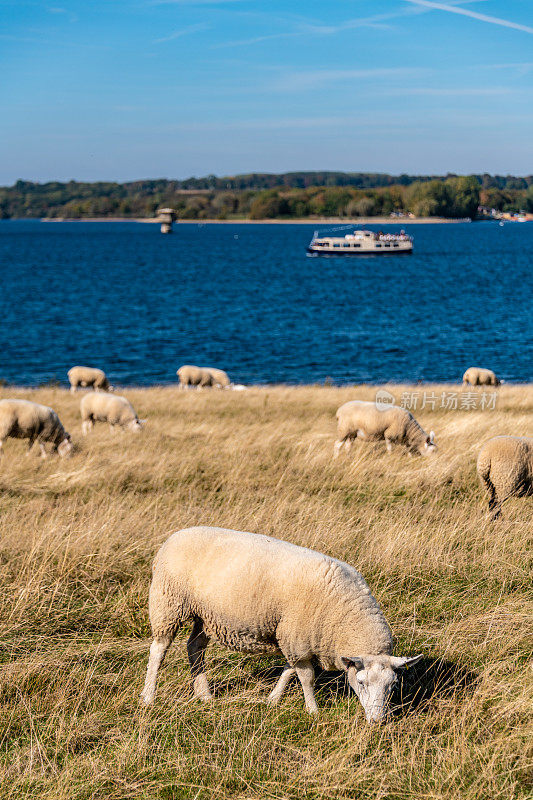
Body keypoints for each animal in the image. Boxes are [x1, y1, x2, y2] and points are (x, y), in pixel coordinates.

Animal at [140, 524, 420, 724]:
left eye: (393, 685)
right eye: (361, 683)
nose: (378, 722)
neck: (346, 614)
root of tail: (174, 536)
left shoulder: (293, 637)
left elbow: (288, 670)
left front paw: (272, 700)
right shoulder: (297, 637)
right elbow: (306, 677)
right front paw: (313, 711)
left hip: (205, 614)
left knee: (194, 647)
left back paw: (204, 694)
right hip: (168, 602)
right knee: (159, 650)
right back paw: (148, 697)